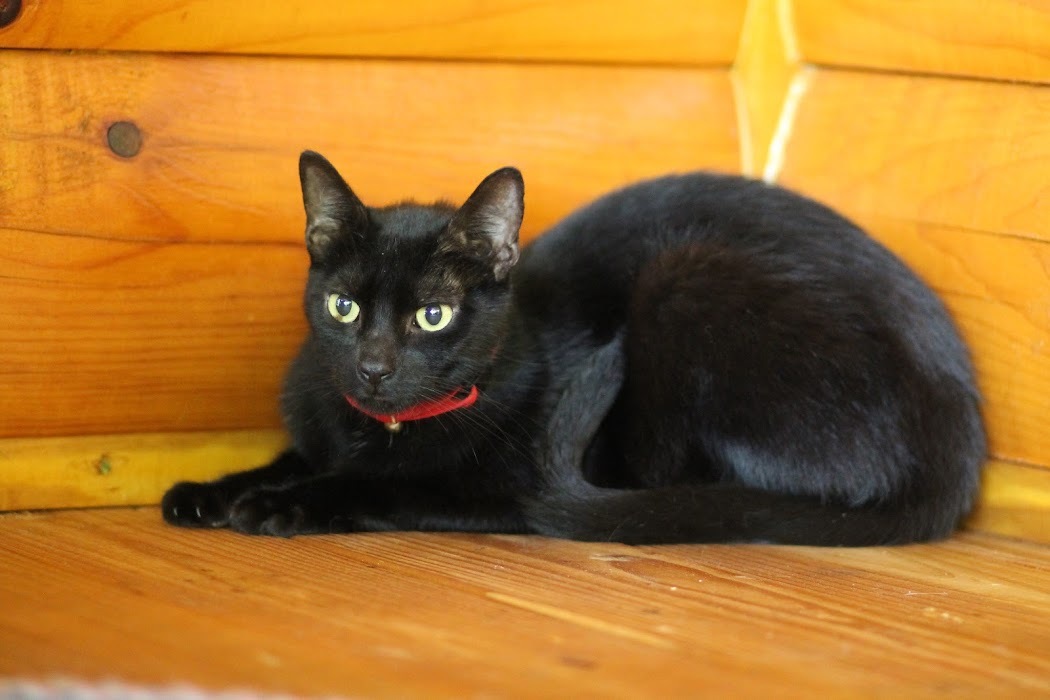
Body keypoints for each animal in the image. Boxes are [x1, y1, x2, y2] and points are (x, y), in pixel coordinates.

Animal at [161, 152, 982, 545]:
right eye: (344, 306)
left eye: (433, 315)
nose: (373, 367)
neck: (380, 430)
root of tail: (955, 461)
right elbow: (290, 458)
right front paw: (210, 491)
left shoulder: (499, 491)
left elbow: (377, 486)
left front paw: (282, 505)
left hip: (686, 273)